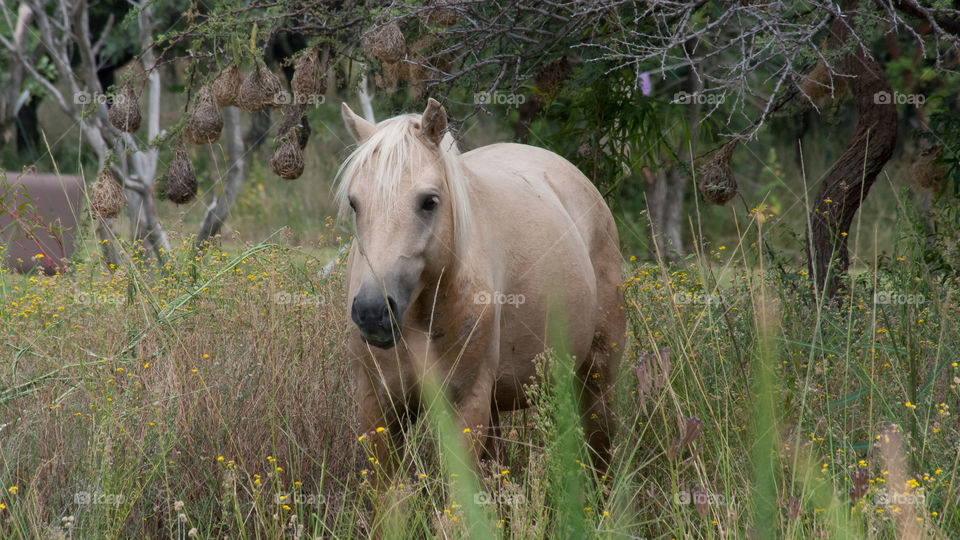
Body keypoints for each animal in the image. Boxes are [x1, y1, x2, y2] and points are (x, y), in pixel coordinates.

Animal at [337, 98, 625, 485]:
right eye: (355, 202)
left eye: (429, 201)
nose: (372, 312)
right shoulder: (378, 405)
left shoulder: (466, 404)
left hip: (597, 376)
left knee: (600, 453)